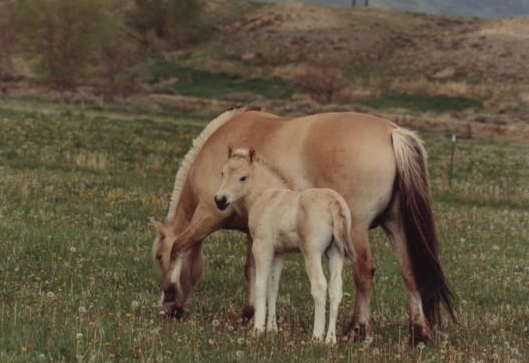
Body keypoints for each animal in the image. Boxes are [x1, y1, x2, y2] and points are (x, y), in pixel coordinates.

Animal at [213, 147, 354, 344]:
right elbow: (274, 286)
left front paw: (258, 329)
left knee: (319, 286)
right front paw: (272, 329)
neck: (266, 197)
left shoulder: (262, 247)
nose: (220, 200)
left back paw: (317, 337)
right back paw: (330, 339)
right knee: (335, 289)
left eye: (243, 177)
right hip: (336, 253)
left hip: (312, 253)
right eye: (222, 173)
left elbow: (260, 284)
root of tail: (334, 202)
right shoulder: (279, 253)